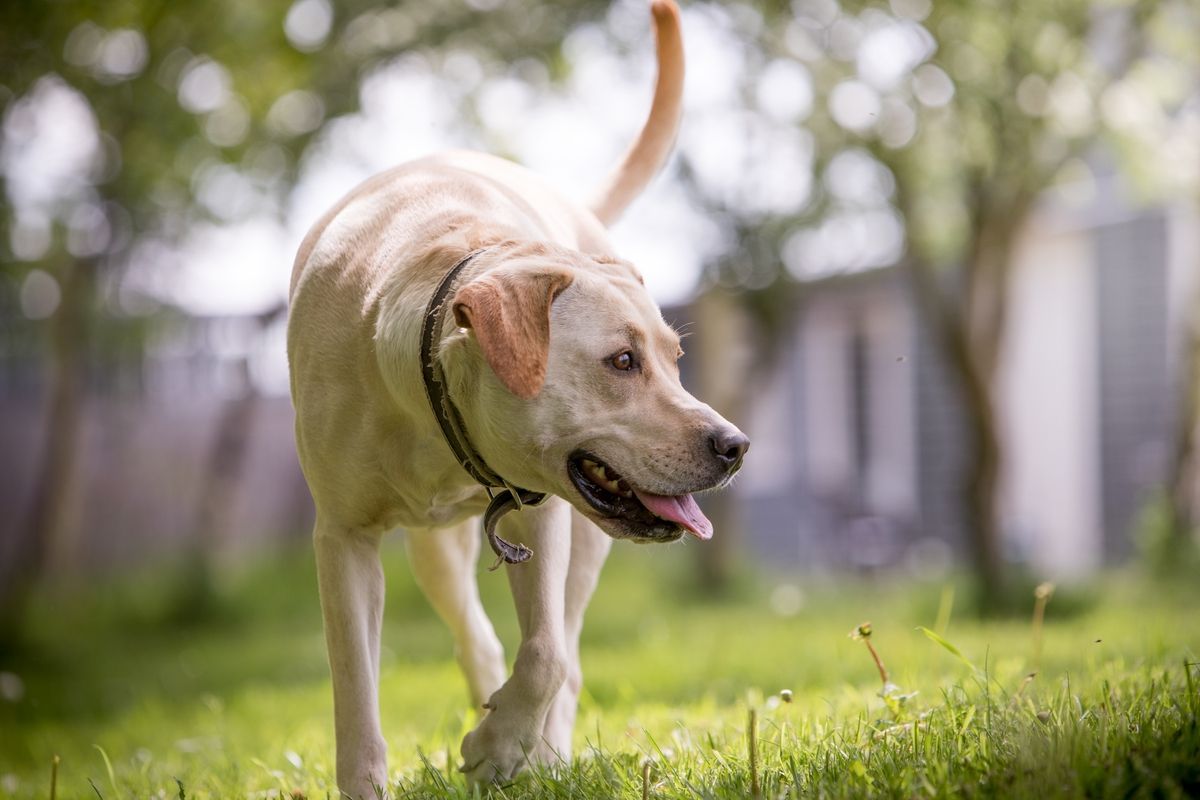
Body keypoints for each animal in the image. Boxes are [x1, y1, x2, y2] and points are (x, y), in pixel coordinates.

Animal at [285, 3, 744, 796]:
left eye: (675, 361)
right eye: (622, 361)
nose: (734, 445)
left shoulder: (549, 512)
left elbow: (548, 653)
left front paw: (501, 747)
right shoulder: (343, 540)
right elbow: (356, 693)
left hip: (588, 542)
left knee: (566, 651)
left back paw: (543, 755)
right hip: (434, 551)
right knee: (475, 636)